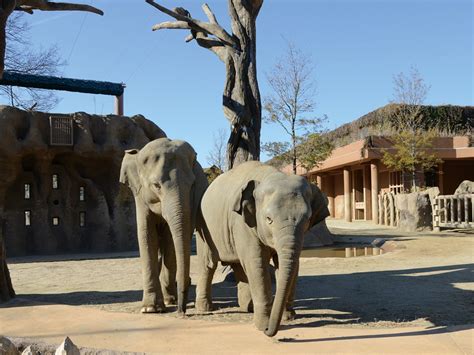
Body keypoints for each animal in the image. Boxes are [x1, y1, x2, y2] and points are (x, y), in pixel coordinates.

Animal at [119, 138, 206, 314]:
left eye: (192, 184)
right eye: (156, 185)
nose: (182, 311)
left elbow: (170, 241)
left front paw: (167, 301)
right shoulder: (140, 196)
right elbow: (146, 235)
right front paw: (150, 309)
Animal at [194, 161, 328, 336]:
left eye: (307, 219)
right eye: (269, 219)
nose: (269, 331)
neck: (268, 175)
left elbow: (290, 264)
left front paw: (288, 317)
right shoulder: (241, 223)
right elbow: (257, 262)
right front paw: (262, 325)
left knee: (239, 266)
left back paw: (247, 307)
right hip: (202, 226)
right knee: (209, 264)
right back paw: (205, 308)